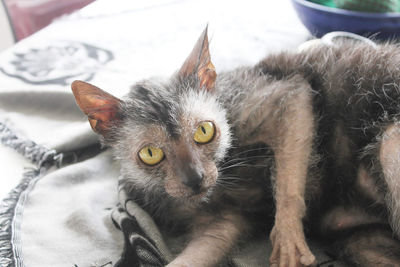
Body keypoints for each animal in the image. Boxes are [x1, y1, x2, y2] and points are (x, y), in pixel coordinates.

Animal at [70, 27, 400, 267]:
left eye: (204, 131)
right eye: (151, 155)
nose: (195, 179)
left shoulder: (288, 96)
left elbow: (288, 187)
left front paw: (288, 241)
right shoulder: (222, 225)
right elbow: (197, 254)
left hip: (390, 144)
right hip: (359, 241)